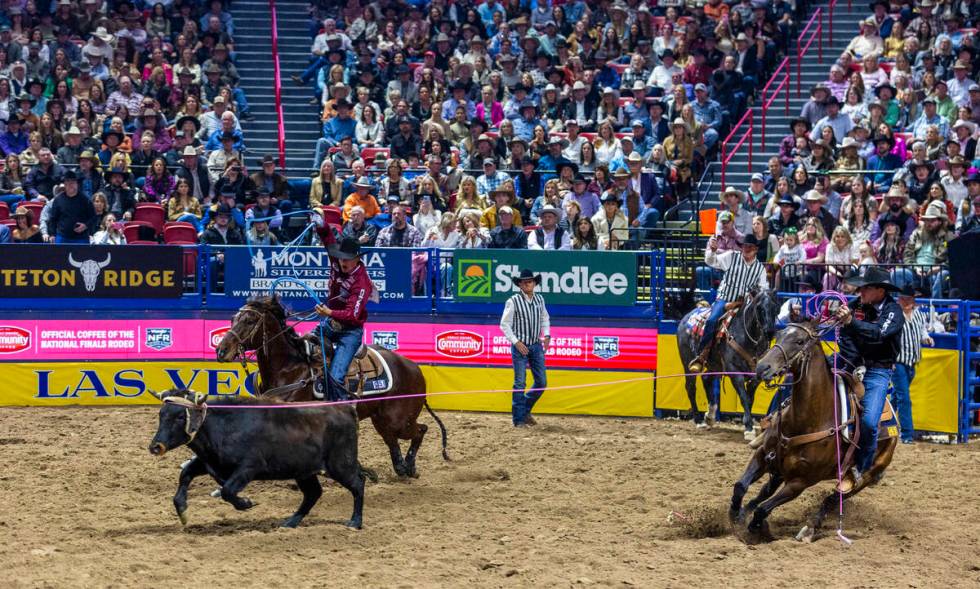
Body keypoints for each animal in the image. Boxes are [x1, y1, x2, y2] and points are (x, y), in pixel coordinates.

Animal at [216, 298, 450, 478]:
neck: (290, 368)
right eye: (232, 319)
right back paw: (400, 467)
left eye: (249, 320)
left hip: (398, 419)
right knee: (393, 439)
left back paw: (408, 466)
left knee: (421, 430)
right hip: (382, 419)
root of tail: (414, 368)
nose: (221, 350)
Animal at [676, 288, 776, 436]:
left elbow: (749, 398)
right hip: (687, 362)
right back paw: (699, 420)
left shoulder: (756, 375)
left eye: (775, 306)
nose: (769, 332)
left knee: (706, 379)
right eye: (759, 307)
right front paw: (749, 428)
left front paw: (748, 422)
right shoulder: (734, 370)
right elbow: (743, 397)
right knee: (690, 387)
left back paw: (710, 416)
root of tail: (687, 316)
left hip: (715, 365)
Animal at [728, 320, 896, 544]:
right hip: (779, 467)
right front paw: (735, 516)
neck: (807, 419)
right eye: (778, 335)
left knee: (832, 500)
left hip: (867, 476)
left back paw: (809, 529)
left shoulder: (800, 482)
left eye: (799, 341)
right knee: (767, 489)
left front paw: (755, 530)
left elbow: (763, 509)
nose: (762, 367)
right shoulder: (762, 454)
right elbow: (741, 486)